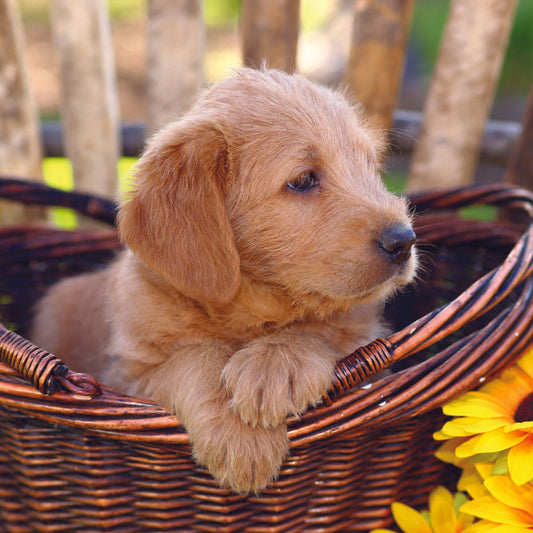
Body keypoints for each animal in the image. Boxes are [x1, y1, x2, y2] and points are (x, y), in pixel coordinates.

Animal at [31, 68, 416, 492]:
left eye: (370, 167)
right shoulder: (126, 381)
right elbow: (195, 357)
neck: (247, 306)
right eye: (303, 179)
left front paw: (276, 361)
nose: (404, 240)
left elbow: (322, 327)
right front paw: (241, 432)